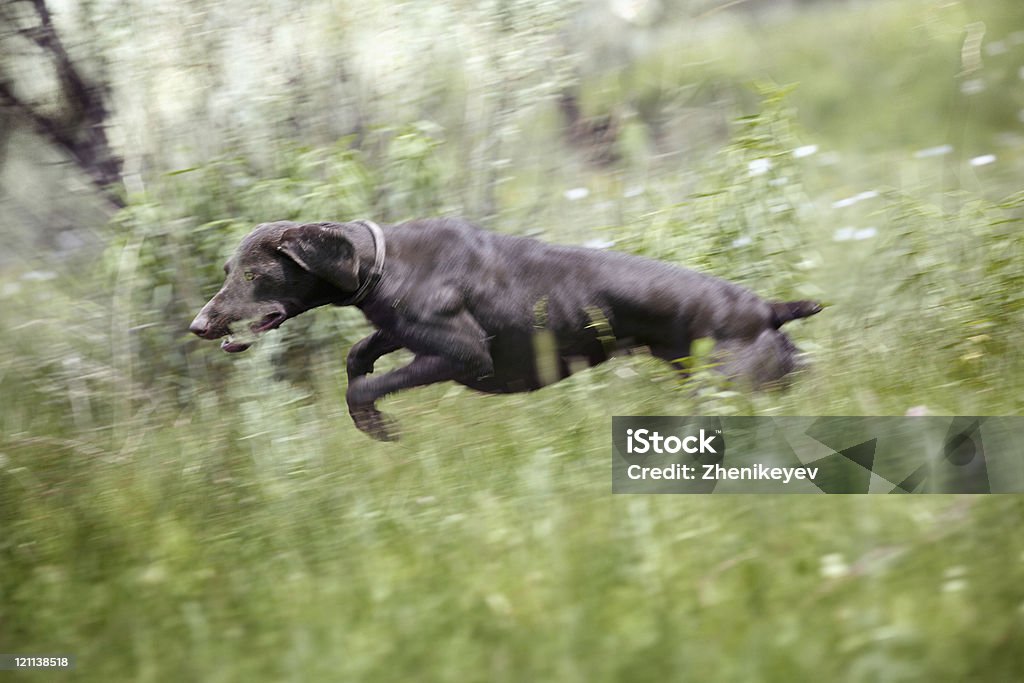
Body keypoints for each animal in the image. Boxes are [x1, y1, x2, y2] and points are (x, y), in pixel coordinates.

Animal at [188, 220, 819, 444]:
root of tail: (767, 309)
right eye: (226, 270)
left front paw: (377, 428)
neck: (379, 263)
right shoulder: (403, 333)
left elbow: (360, 386)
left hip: (736, 389)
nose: (198, 325)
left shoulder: (465, 355)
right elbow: (358, 354)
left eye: (254, 274)